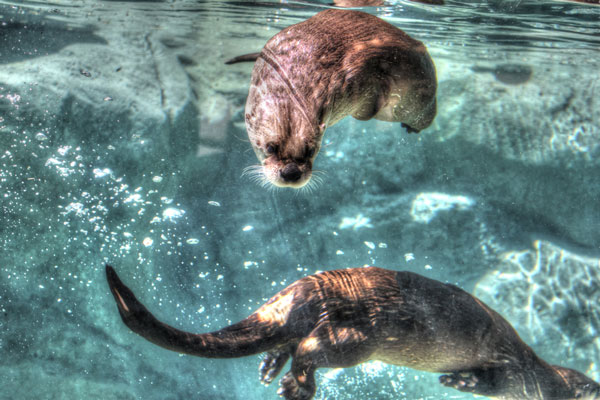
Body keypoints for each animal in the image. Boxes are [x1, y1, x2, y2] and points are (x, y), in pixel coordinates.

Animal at [105, 266, 596, 400]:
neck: (539, 372)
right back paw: (296, 387)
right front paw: (460, 380)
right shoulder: (517, 376)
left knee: (287, 342)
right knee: (309, 348)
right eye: (591, 388)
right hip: (358, 336)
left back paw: (271, 368)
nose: (595, 388)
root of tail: (303, 291)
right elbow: (491, 382)